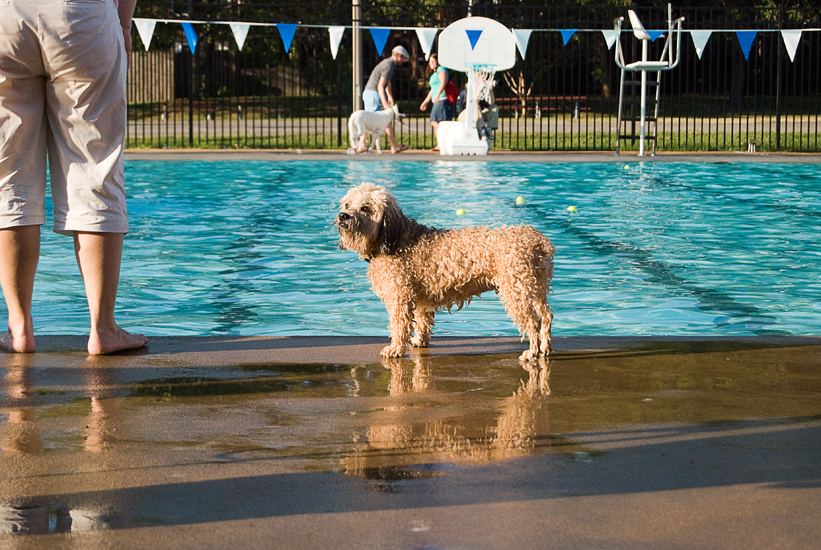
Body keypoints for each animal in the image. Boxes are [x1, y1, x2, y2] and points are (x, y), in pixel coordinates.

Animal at [334, 183, 556, 362]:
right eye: (347, 205)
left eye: (365, 208)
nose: (343, 216)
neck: (392, 239)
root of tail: (537, 241)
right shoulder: (420, 297)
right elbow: (422, 319)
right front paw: (419, 340)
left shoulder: (400, 296)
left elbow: (399, 325)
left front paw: (396, 349)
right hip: (535, 286)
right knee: (546, 315)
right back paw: (545, 348)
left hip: (516, 289)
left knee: (532, 320)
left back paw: (532, 352)